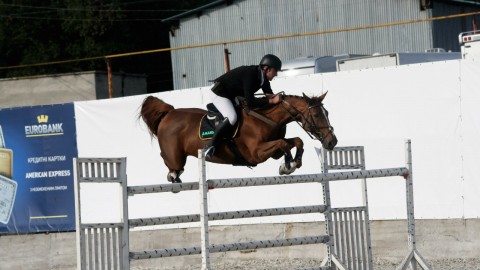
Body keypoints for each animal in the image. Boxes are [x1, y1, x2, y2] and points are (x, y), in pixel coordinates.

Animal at [140, 93, 338, 184]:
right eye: (317, 115)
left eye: (327, 113)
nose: (332, 141)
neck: (267, 118)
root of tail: (169, 113)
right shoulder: (256, 154)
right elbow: (284, 143)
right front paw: (288, 165)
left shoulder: (272, 151)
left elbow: (296, 141)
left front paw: (293, 162)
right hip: (175, 156)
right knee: (171, 165)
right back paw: (175, 175)